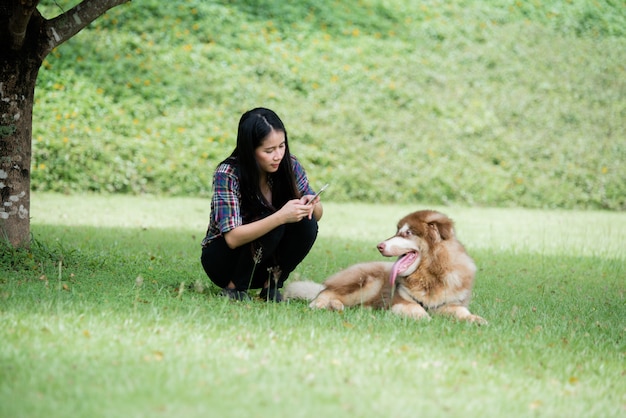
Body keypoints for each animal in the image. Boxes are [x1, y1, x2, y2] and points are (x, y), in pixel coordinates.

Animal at [286, 211, 486, 324]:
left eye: (407, 233)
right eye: (397, 231)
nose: (379, 246)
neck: (429, 274)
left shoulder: (450, 303)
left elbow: (461, 311)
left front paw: (476, 319)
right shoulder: (400, 302)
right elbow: (416, 308)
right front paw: (424, 317)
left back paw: (338, 306)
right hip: (366, 282)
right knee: (325, 293)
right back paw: (321, 304)